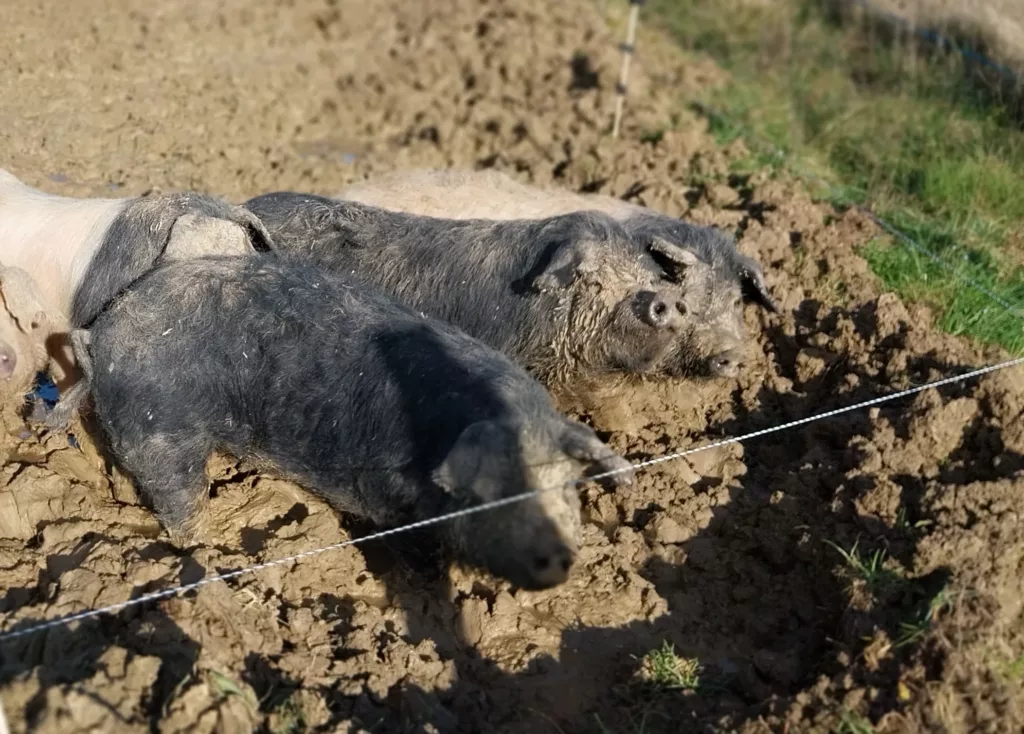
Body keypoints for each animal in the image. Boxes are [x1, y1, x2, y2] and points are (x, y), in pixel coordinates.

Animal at [49, 255, 634, 590]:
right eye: (495, 492)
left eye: (568, 486)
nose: (557, 557)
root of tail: (100, 335)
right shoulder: (383, 494)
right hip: (162, 427)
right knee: (178, 500)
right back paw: (206, 551)